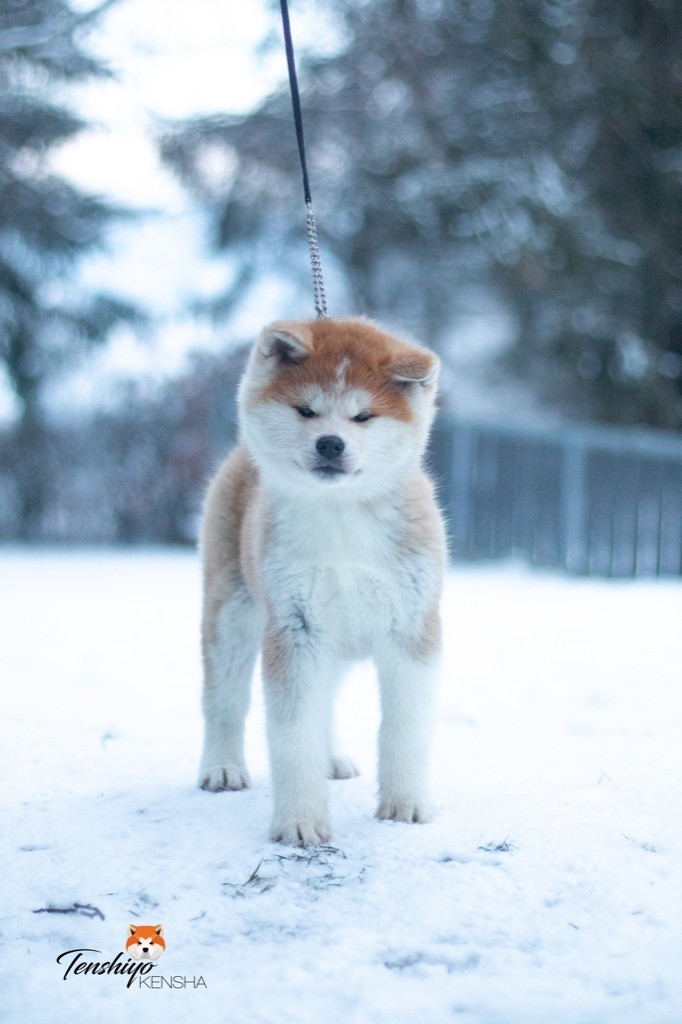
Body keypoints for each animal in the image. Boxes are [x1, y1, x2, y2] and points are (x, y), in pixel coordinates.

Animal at [196, 315, 446, 843]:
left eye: (363, 416)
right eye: (306, 410)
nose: (330, 442)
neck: (341, 518)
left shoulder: (413, 626)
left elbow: (406, 728)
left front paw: (406, 805)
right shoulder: (293, 629)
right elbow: (293, 734)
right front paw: (300, 821)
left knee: (326, 697)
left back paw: (332, 758)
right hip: (231, 615)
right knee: (223, 698)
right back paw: (222, 767)